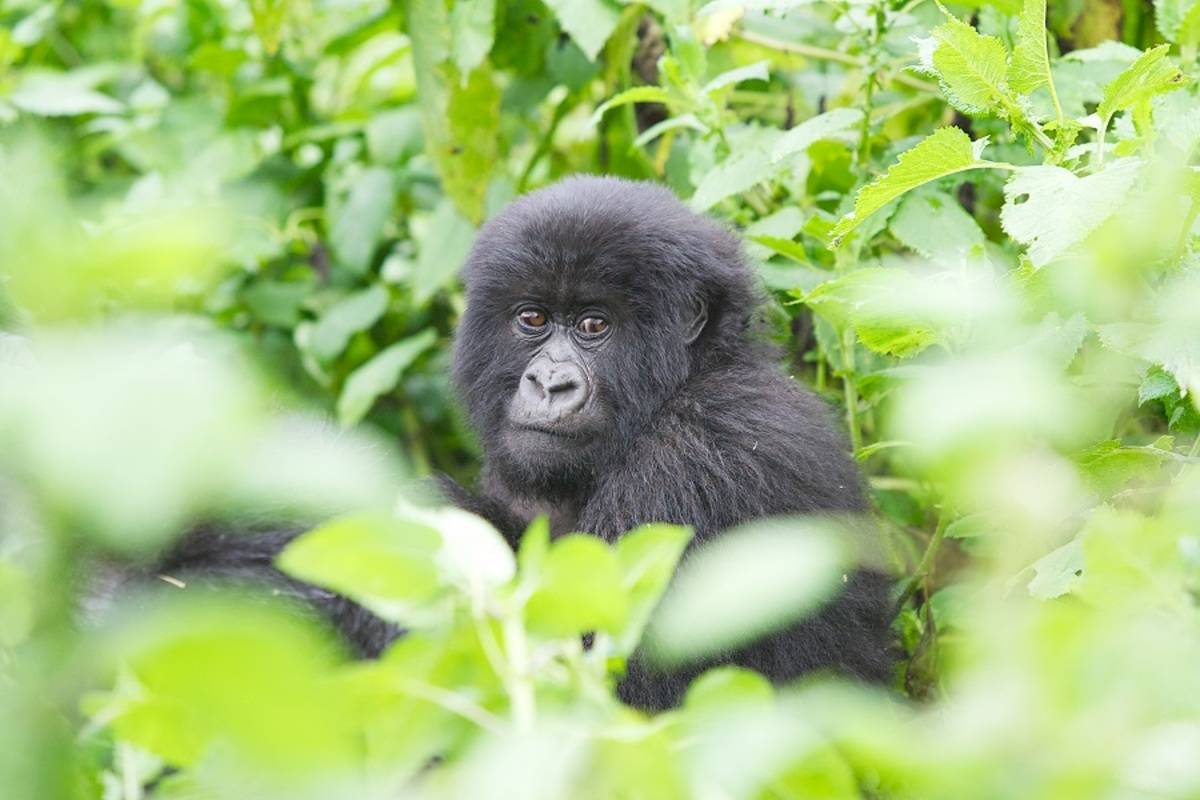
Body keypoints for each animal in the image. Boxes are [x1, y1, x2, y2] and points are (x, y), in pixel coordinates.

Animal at [147, 176, 892, 714]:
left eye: (593, 325)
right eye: (531, 318)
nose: (549, 382)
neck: (691, 377)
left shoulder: (704, 459)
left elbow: (589, 685)